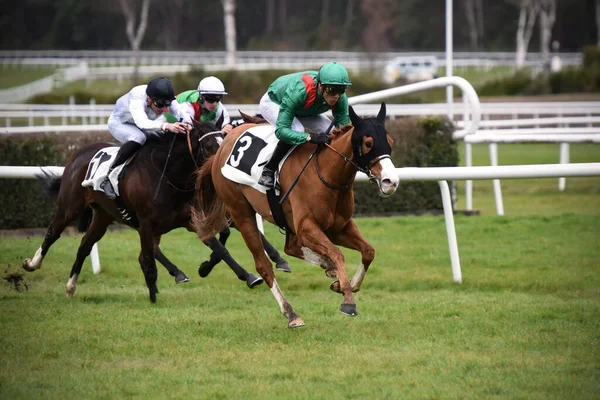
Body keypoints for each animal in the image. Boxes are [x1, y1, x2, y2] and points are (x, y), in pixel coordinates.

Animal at [21, 119, 286, 304]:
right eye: (209, 146)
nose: (222, 170)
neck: (166, 174)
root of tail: (78, 153)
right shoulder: (146, 223)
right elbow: (149, 262)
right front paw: (154, 299)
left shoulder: (189, 218)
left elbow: (220, 247)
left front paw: (245, 275)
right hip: (70, 206)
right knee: (52, 233)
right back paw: (32, 263)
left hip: (103, 216)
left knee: (84, 246)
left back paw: (71, 287)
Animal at [192, 104, 398, 328]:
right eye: (368, 143)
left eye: (390, 142)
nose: (391, 182)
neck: (326, 173)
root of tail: (221, 148)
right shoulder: (306, 226)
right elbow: (337, 253)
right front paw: (348, 301)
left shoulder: (339, 228)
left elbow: (368, 251)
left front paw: (345, 285)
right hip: (241, 211)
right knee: (264, 265)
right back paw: (291, 313)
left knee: (290, 247)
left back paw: (326, 267)